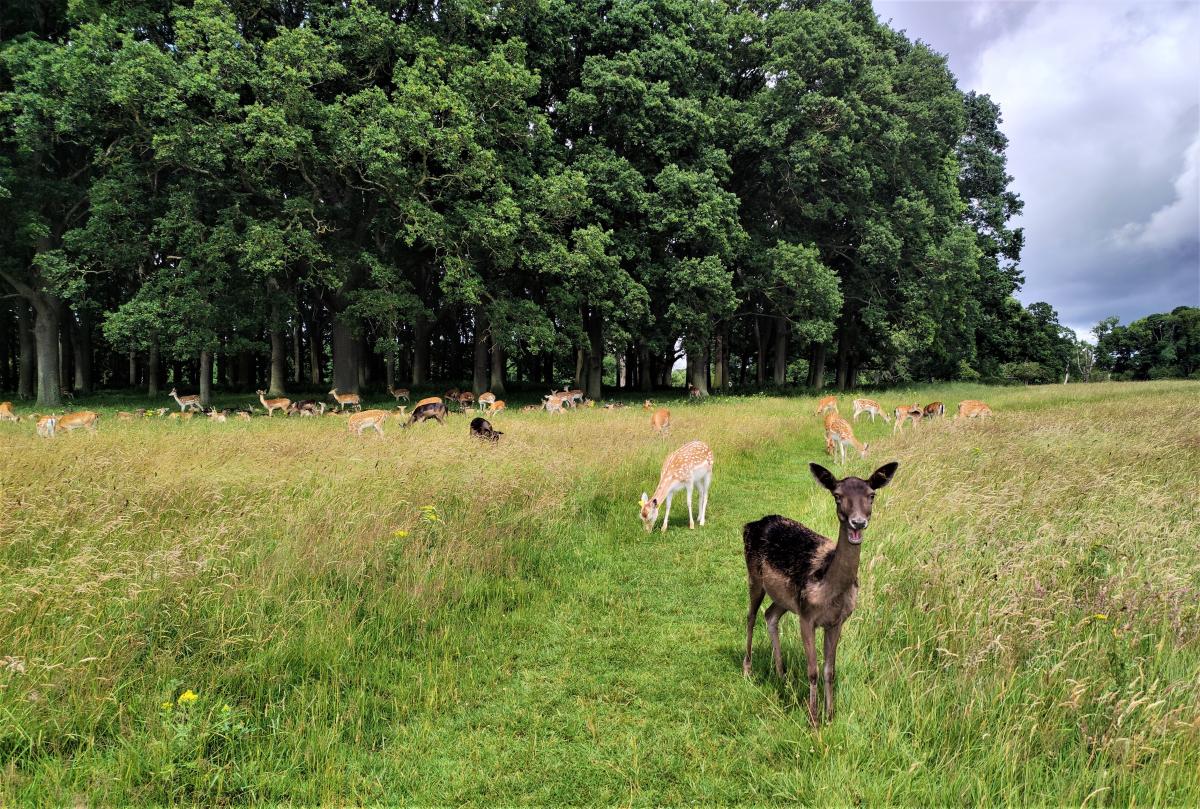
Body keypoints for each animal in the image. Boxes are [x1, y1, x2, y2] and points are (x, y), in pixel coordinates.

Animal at [739, 460, 902, 724]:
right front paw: (813, 719)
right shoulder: (807, 617)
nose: (858, 522)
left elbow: (829, 670)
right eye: (837, 496)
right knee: (751, 616)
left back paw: (781, 676)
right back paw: (748, 670)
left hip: (786, 598)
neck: (830, 592)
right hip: (754, 576)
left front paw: (830, 716)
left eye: (871, 495)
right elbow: (813, 670)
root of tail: (749, 524)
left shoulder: (837, 621)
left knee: (770, 615)